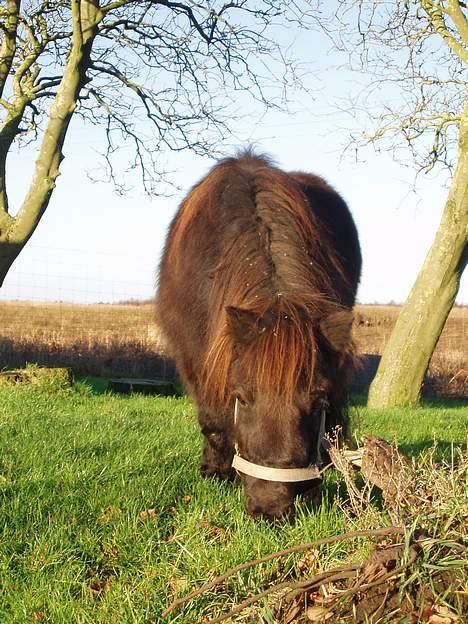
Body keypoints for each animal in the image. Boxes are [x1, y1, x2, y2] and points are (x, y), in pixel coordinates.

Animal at [158, 149, 362, 520]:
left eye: (319, 400)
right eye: (240, 395)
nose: (272, 507)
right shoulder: (194, 356)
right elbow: (212, 418)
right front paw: (216, 471)